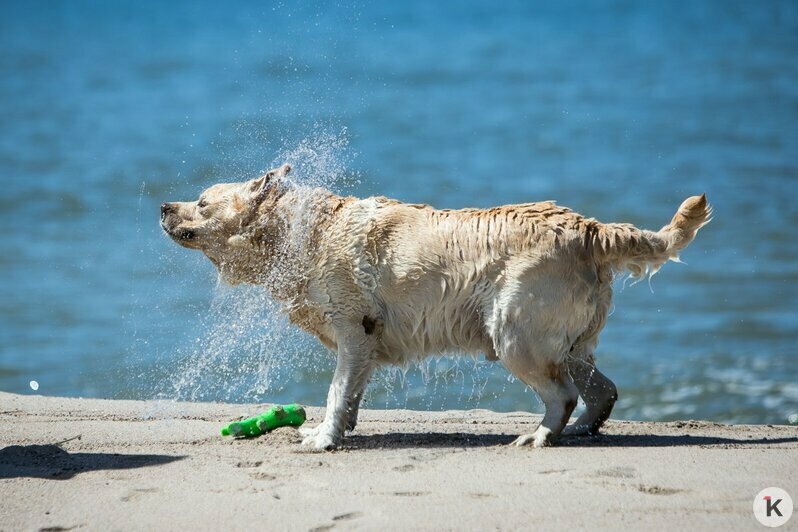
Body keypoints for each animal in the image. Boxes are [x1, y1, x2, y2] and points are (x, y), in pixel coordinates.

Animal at [162, 164, 712, 450]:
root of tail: (589, 228)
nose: (164, 206)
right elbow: (351, 391)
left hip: (514, 331)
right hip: (565, 335)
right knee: (601, 388)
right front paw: (341, 428)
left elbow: (336, 391)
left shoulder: (353, 327)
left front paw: (321, 436)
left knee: (562, 393)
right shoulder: (362, 342)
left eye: (203, 202)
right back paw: (580, 430)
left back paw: (539, 436)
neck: (297, 233)